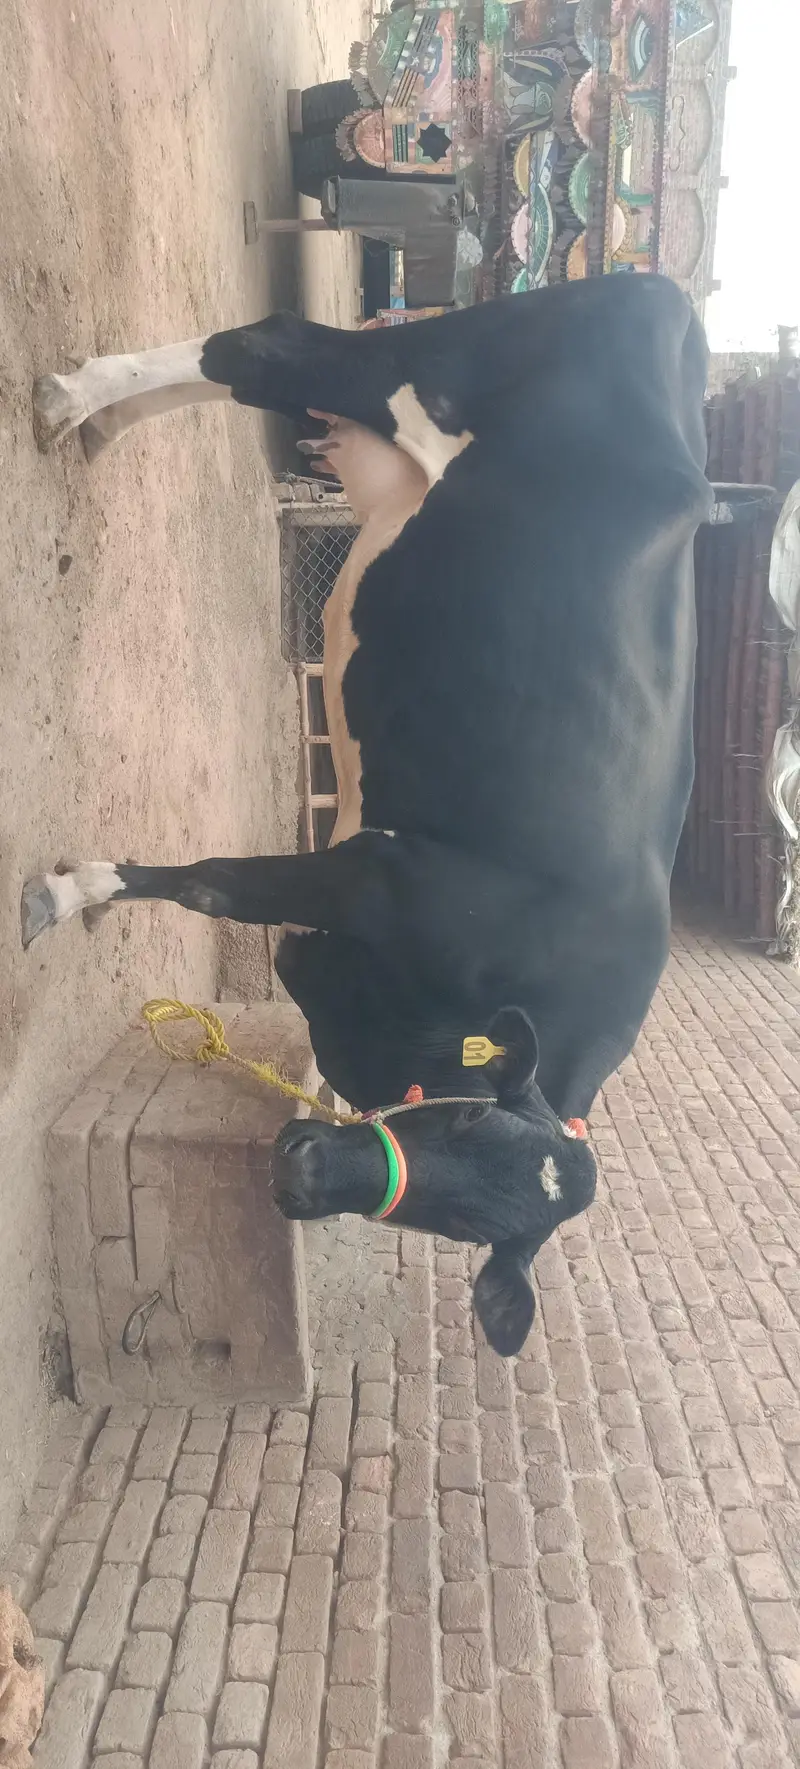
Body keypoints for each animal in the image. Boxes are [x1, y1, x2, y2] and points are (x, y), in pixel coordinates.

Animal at [23, 273, 713, 1354]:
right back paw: (73, 397)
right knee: (265, 349)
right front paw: (66, 891)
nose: (305, 1172)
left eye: (469, 1226)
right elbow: (211, 884)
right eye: (467, 1120)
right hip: (412, 369)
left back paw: (101, 422)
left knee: (263, 368)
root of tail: (668, 298)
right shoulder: (372, 876)